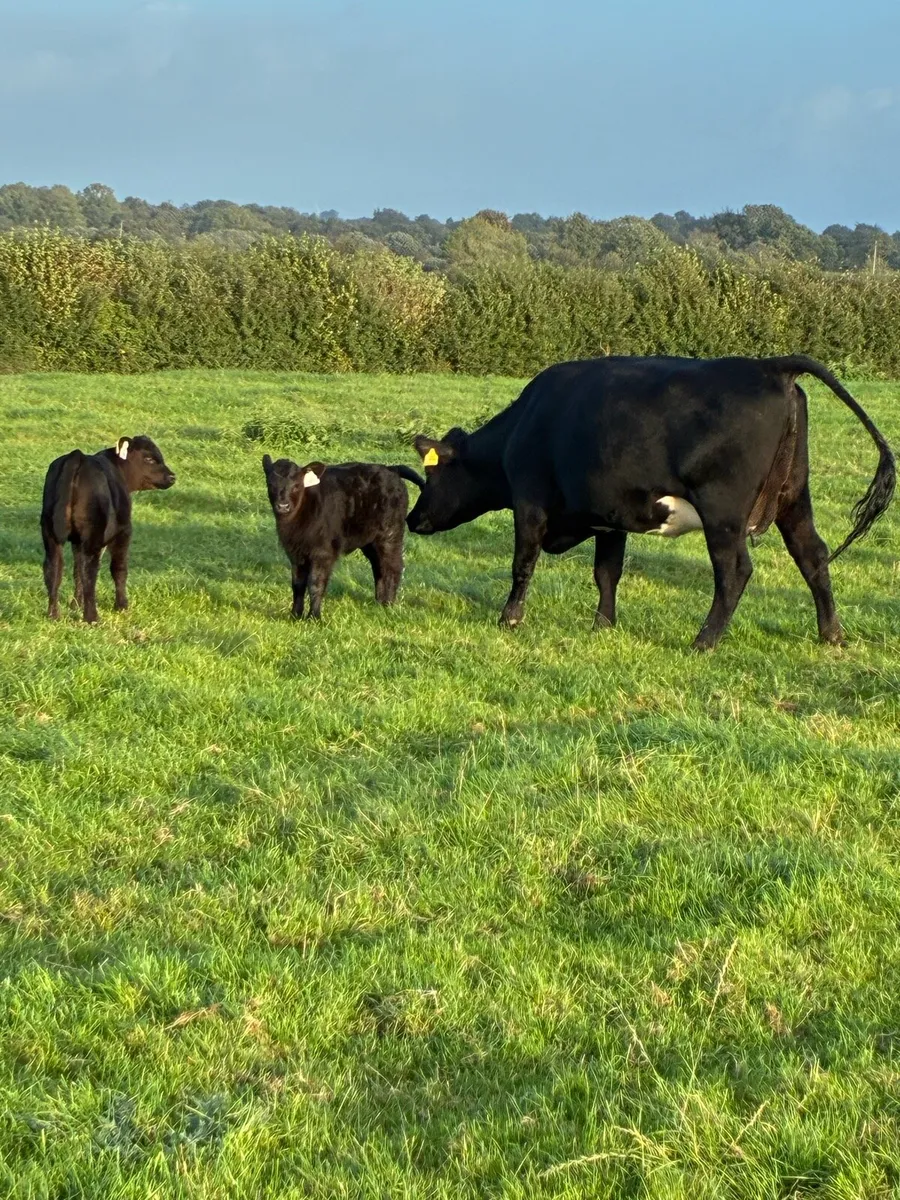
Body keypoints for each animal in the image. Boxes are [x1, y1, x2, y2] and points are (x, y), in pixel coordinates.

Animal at [41, 436, 176, 623]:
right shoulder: (124, 531)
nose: (172, 477)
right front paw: (122, 606)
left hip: (50, 533)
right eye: (149, 458)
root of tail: (78, 456)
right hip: (93, 534)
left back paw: (54, 615)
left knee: (54, 569)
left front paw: (76, 604)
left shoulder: (77, 540)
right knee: (90, 571)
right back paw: (92, 617)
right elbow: (119, 569)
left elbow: (76, 570)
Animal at [262, 455, 425, 620]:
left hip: (390, 534)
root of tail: (391, 468)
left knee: (393, 566)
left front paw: (314, 617)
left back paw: (388, 604)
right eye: (270, 484)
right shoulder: (295, 554)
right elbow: (297, 584)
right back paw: (379, 602)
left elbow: (315, 583)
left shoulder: (323, 553)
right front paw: (295, 615)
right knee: (379, 566)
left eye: (296, 485)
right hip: (370, 540)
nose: (283, 506)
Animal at [406, 355, 895, 650]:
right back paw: (831, 634)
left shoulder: (530, 502)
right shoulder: (610, 517)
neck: (524, 424)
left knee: (734, 571)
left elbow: (522, 564)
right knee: (812, 556)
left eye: (431, 475)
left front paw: (509, 618)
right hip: (794, 497)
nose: (413, 518)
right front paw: (603, 625)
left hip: (723, 511)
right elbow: (606, 572)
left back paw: (704, 641)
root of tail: (770, 366)